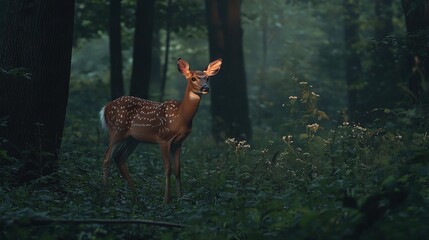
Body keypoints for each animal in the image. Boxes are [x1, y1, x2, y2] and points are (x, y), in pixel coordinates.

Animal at [99, 57, 222, 202]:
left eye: (207, 78)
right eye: (193, 78)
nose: (205, 88)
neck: (180, 118)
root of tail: (105, 108)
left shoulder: (178, 142)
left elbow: (178, 169)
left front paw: (180, 198)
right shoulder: (163, 138)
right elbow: (168, 168)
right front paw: (166, 199)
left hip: (132, 139)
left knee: (120, 158)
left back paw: (136, 195)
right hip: (116, 131)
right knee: (107, 157)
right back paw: (106, 192)